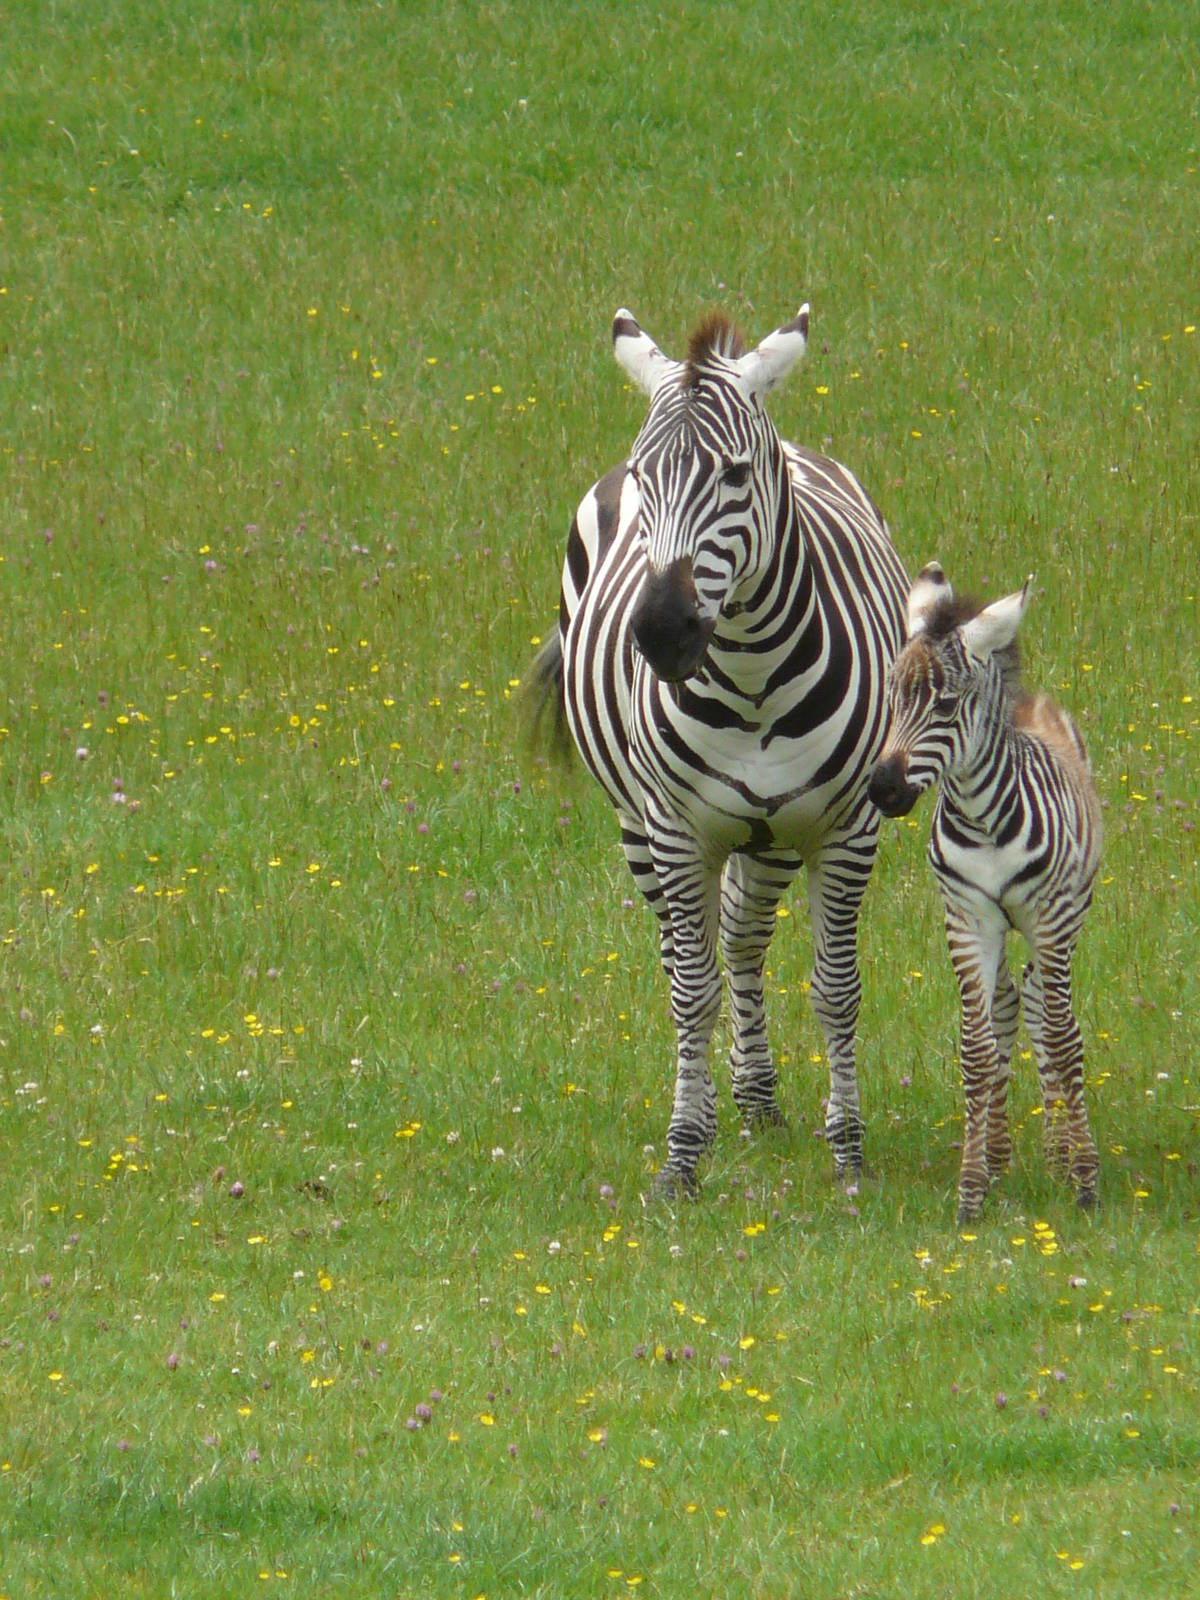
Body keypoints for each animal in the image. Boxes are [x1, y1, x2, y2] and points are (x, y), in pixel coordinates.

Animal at [525, 303, 910, 1193]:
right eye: (645, 477)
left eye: (735, 475)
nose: (662, 632)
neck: (752, 675)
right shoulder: (675, 828)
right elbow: (691, 991)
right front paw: (682, 1155)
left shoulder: (847, 830)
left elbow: (836, 988)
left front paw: (848, 1151)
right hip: (640, 825)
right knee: (683, 952)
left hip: (771, 835)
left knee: (742, 934)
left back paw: (758, 1098)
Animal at [867, 562, 1104, 1222]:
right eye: (890, 697)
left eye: (945, 704)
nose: (882, 789)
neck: (982, 818)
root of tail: (1031, 702)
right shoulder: (967, 918)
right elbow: (978, 1050)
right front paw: (972, 1187)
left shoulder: (1049, 917)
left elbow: (1065, 1040)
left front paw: (1084, 1180)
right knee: (1007, 1011)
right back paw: (999, 1157)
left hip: (1067, 919)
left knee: (1046, 1015)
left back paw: (1060, 1157)